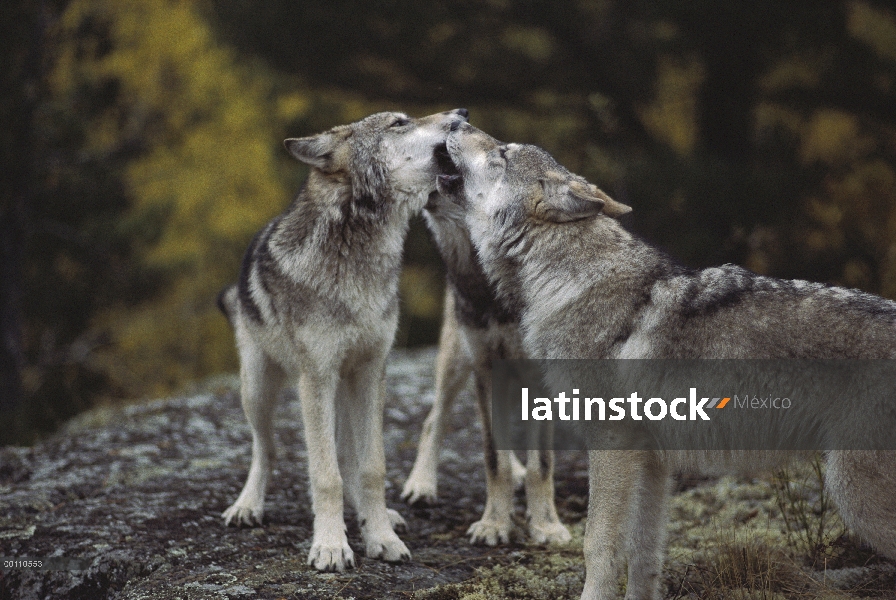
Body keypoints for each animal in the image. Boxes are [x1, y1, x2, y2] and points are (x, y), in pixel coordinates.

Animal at [219, 108, 468, 572]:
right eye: (399, 123)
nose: (461, 113)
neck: (358, 262)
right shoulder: (316, 378)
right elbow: (325, 475)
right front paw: (332, 546)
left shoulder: (371, 372)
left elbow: (371, 467)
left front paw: (381, 536)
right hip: (259, 388)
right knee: (267, 449)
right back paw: (247, 506)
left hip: (345, 390)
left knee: (349, 458)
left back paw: (379, 515)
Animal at [440, 123, 896, 600]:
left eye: (502, 154)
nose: (455, 122)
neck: (566, 281)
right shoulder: (653, 462)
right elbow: (644, 553)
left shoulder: (612, 445)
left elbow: (598, 545)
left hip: (853, 492)